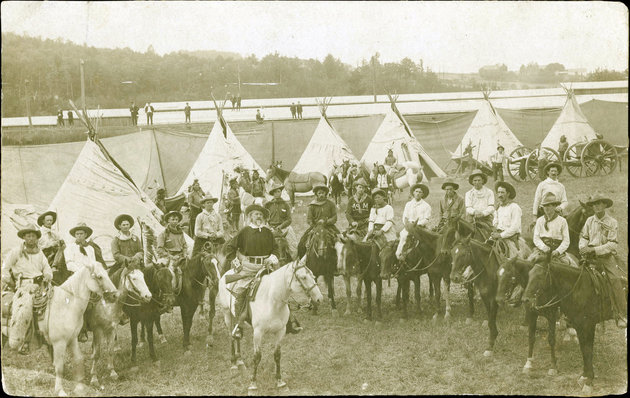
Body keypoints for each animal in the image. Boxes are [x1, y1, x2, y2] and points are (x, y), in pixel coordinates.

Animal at [36, 262, 118, 396]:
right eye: (100, 276)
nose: (115, 295)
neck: (66, 304)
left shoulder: (73, 339)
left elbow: (79, 359)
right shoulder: (60, 342)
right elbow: (60, 366)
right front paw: (60, 390)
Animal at [218, 255, 326, 392]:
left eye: (312, 275)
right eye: (303, 277)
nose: (319, 298)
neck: (272, 301)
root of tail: (227, 273)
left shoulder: (280, 332)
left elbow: (277, 355)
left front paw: (280, 382)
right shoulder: (258, 333)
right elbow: (257, 357)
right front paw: (253, 384)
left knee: (236, 336)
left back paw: (240, 361)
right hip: (227, 313)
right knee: (231, 337)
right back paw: (233, 363)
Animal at [520, 256, 624, 394]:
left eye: (540, 276)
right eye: (529, 274)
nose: (525, 300)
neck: (579, 289)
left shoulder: (588, 326)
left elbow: (587, 351)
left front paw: (589, 382)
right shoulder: (580, 327)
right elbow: (584, 350)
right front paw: (584, 376)